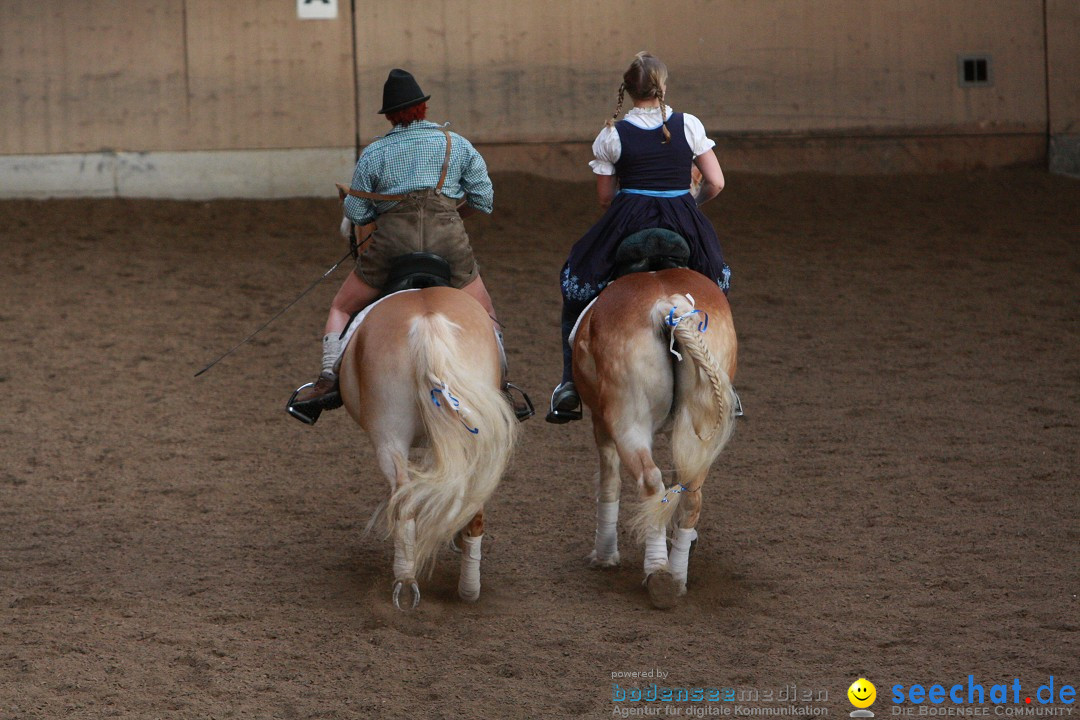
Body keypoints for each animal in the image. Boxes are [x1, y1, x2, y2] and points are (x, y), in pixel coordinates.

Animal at [339, 284, 520, 608]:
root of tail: (427, 322)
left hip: (389, 436)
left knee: (404, 498)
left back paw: (406, 580)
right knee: (471, 501)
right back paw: (467, 589)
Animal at [570, 268, 738, 608]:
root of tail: (667, 305)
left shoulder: (601, 423)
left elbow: (609, 482)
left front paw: (605, 555)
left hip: (627, 424)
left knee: (650, 482)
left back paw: (658, 572)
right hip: (699, 429)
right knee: (690, 494)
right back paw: (676, 575)